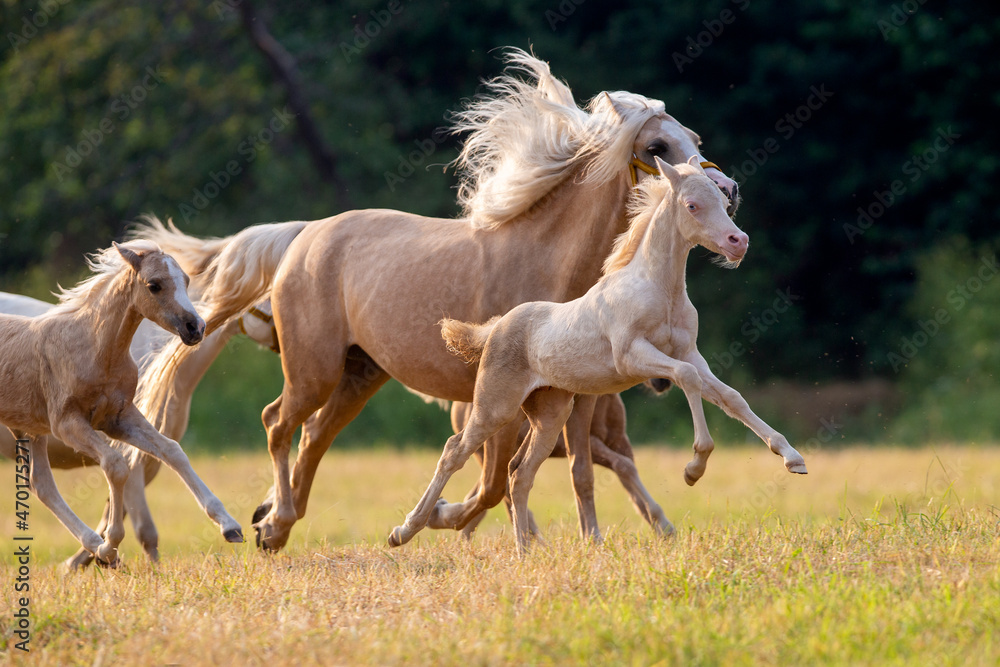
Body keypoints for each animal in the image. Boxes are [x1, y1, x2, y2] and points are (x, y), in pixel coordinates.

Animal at [0, 242, 244, 564]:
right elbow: (116, 465)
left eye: (186, 281)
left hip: (30, 428)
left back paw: (93, 544)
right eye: (154, 285)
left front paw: (230, 526)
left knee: (42, 485)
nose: (196, 327)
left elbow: (172, 451)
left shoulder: (118, 417)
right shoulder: (67, 423)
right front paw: (110, 545)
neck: (95, 349)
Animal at [132, 48, 740, 552]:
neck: (551, 263)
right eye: (657, 148)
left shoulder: (579, 399)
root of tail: (303, 236)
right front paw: (434, 519)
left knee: (313, 437)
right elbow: (495, 483)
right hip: (314, 369)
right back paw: (275, 520)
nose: (729, 194)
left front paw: (589, 541)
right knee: (279, 424)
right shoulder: (502, 401)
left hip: (360, 375)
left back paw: (273, 524)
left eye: (695, 140)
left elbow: (577, 473)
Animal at [388, 158, 807, 555]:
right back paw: (404, 531)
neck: (661, 291)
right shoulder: (632, 356)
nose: (738, 242)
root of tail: (493, 330)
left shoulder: (689, 351)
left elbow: (730, 397)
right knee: (454, 452)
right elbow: (685, 377)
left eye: (724, 202)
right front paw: (694, 468)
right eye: (692, 205)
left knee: (519, 474)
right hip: (496, 406)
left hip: (550, 414)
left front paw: (792, 458)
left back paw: (523, 551)